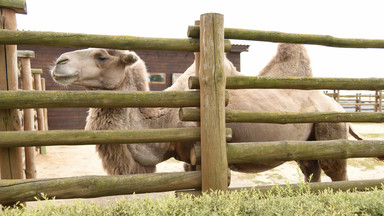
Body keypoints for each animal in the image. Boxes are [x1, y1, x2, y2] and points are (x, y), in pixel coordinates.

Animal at [51, 46, 366, 182]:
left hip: (330, 131)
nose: (59, 62)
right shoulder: (188, 159)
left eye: (101, 56)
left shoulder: (209, 155)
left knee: (336, 173)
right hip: (307, 143)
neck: (164, 118)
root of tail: (338, 107)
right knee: (311, 171)